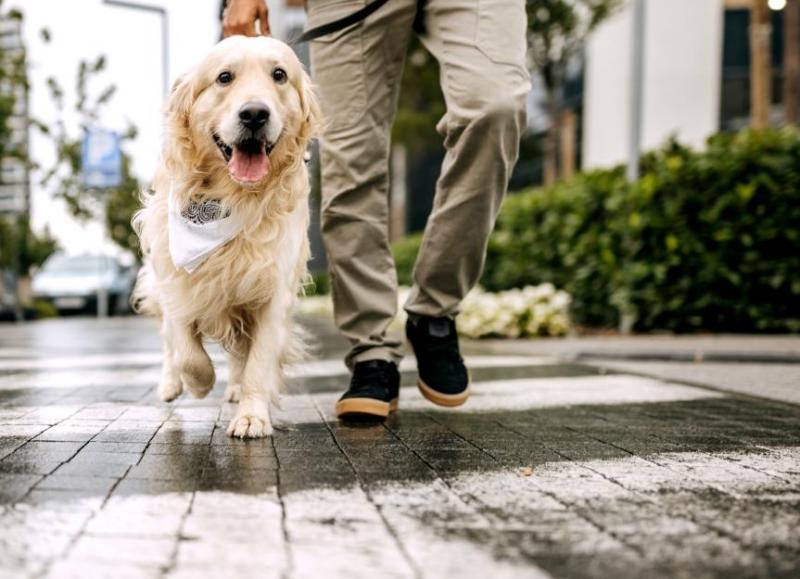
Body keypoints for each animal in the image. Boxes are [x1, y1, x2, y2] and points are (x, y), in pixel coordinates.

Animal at [134, 36, 318, 438]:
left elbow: (259, 362)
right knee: (169, 342)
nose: (255, 114)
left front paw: (252, 416)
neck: (231, 199)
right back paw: (171, 384)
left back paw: (234, 388)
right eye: (224, 78)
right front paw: (199, 382)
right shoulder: (176, 279)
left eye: (279, 74)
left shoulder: (271, 288)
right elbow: (186, 349)